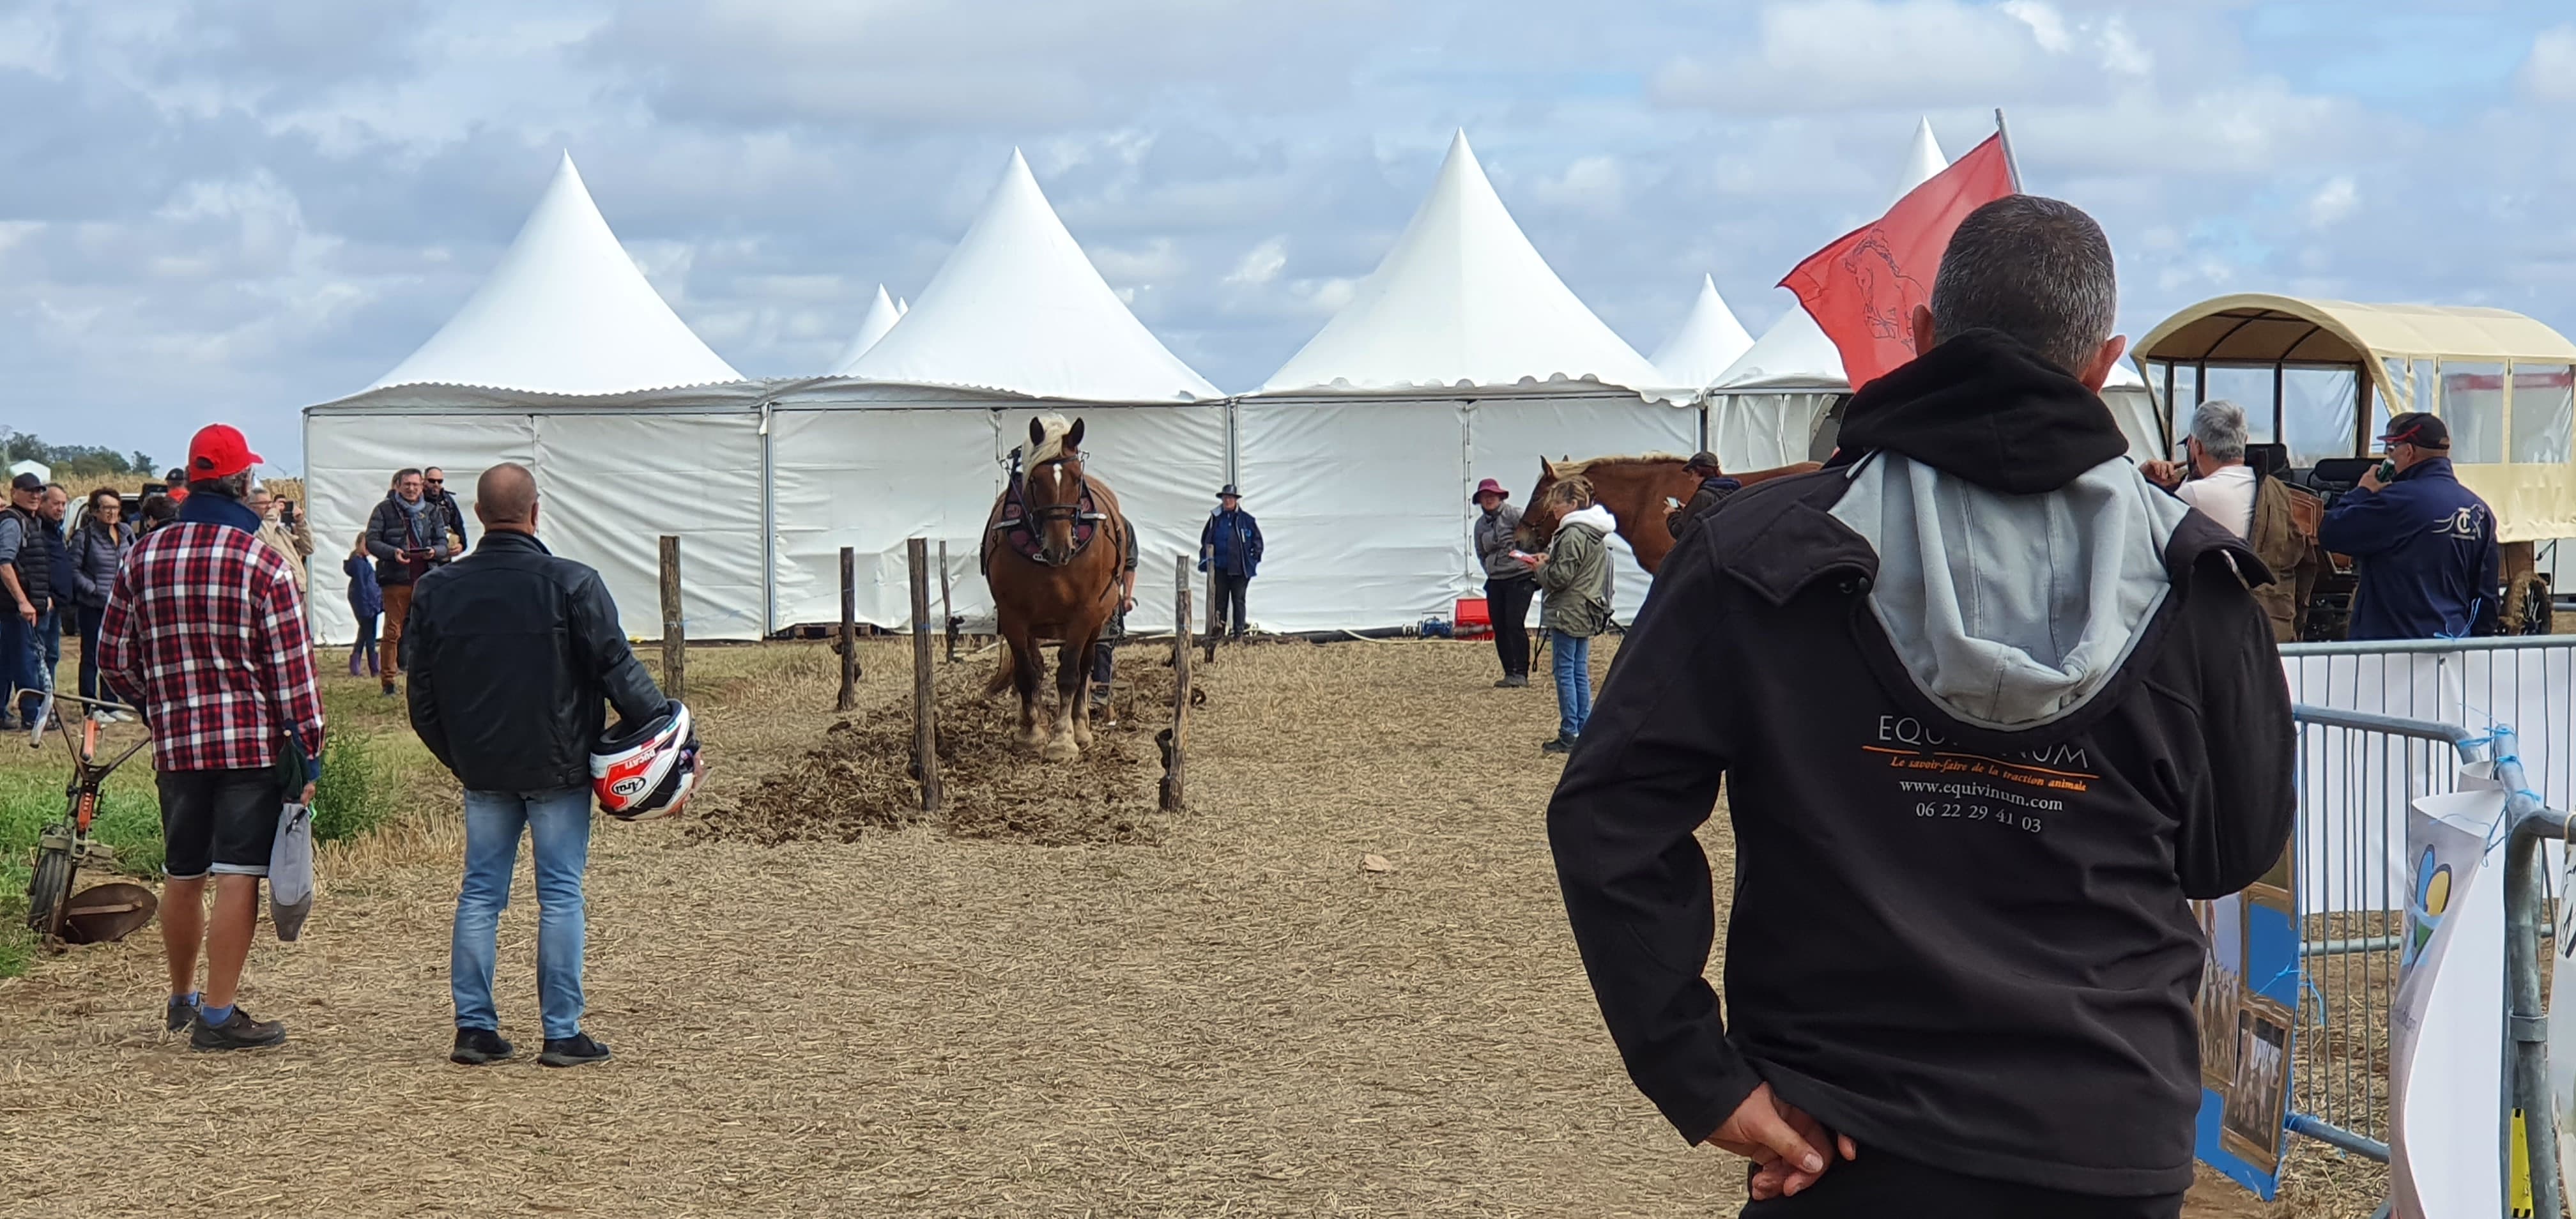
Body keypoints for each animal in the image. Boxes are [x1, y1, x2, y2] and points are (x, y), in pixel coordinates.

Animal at [979, 417, 1133, 763]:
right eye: (1035, 480)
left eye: (1076, 478)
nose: (1060, 548)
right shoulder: (1013, 616)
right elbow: (1027, 673)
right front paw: (1031, 733)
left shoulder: (1084, 614)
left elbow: (1069, 675)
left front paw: (1063, 740)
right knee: (1037, 665)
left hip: (1097, 620)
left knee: (1085, 666)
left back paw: (1081, 726)